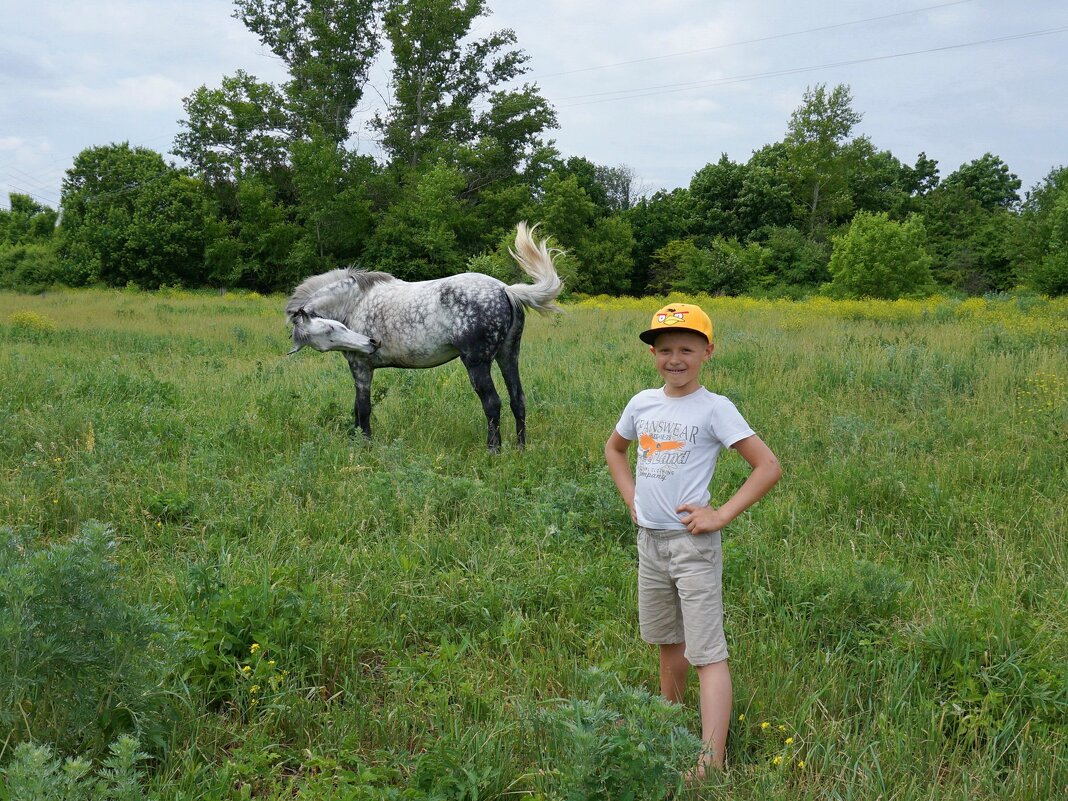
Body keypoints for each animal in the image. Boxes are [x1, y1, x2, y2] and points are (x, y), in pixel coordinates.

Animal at [284, 223, 568, 452]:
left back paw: (493, 451)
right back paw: (520, 449)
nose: (371, 343)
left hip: (477, 363)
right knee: (517, 400)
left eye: (332, 328)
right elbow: (357, 408)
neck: (355, 302)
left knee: (492, 404)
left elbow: (363, 408)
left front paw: (365, 445)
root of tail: (505, 289)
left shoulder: (361, 367)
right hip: (508, 356)